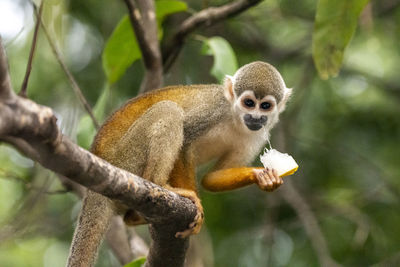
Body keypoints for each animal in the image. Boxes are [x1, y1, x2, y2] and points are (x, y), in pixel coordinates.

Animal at [65, 61, 290, 266]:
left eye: (265, 106)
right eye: (249, 103)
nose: (255, 117)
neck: (235, 118)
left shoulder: (258, 136)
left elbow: (211, 178)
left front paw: (264, 177)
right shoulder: (214, 110)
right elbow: (186, 141)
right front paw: (196, 207)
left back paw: (135, 217)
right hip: (126, 159)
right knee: (169, 110)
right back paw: (159, 184)